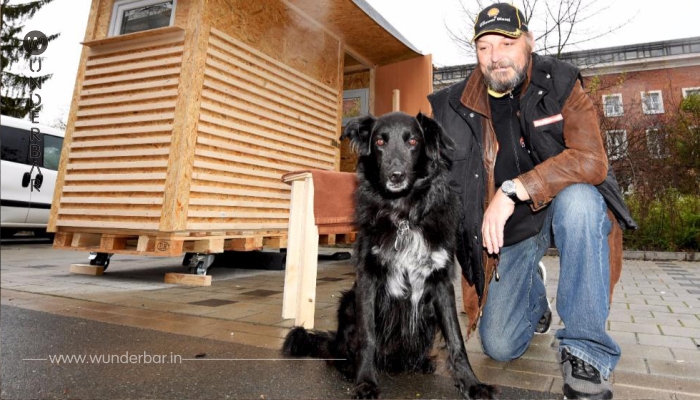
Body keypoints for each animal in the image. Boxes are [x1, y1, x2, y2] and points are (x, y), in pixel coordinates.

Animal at [282, 112, 494, 400]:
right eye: (380, 142)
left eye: (413, 141)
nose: (396, 175)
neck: (403, 214)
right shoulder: (368, 280)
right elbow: (368, 337)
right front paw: (365, 382)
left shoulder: (441, 283)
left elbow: (455, 338)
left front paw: (471, 383)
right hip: (348, 303)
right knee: (339, 354)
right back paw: (350, 368)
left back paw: (421, 363)